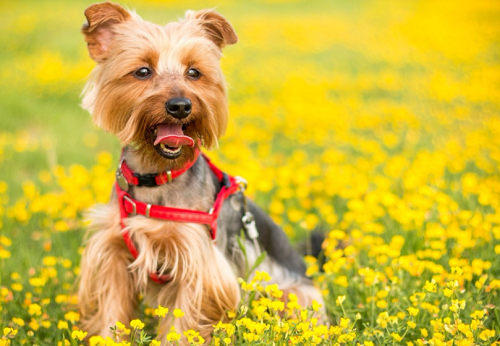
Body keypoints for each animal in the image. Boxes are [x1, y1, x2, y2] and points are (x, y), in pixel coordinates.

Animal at [76, 2, 322, 344]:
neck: (157, 176)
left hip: (290, 293)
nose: (180, 105)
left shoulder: (199, 263)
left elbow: (184, 322)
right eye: (142, 71)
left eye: (194, 72)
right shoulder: (113, 252)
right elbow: (113, 310)